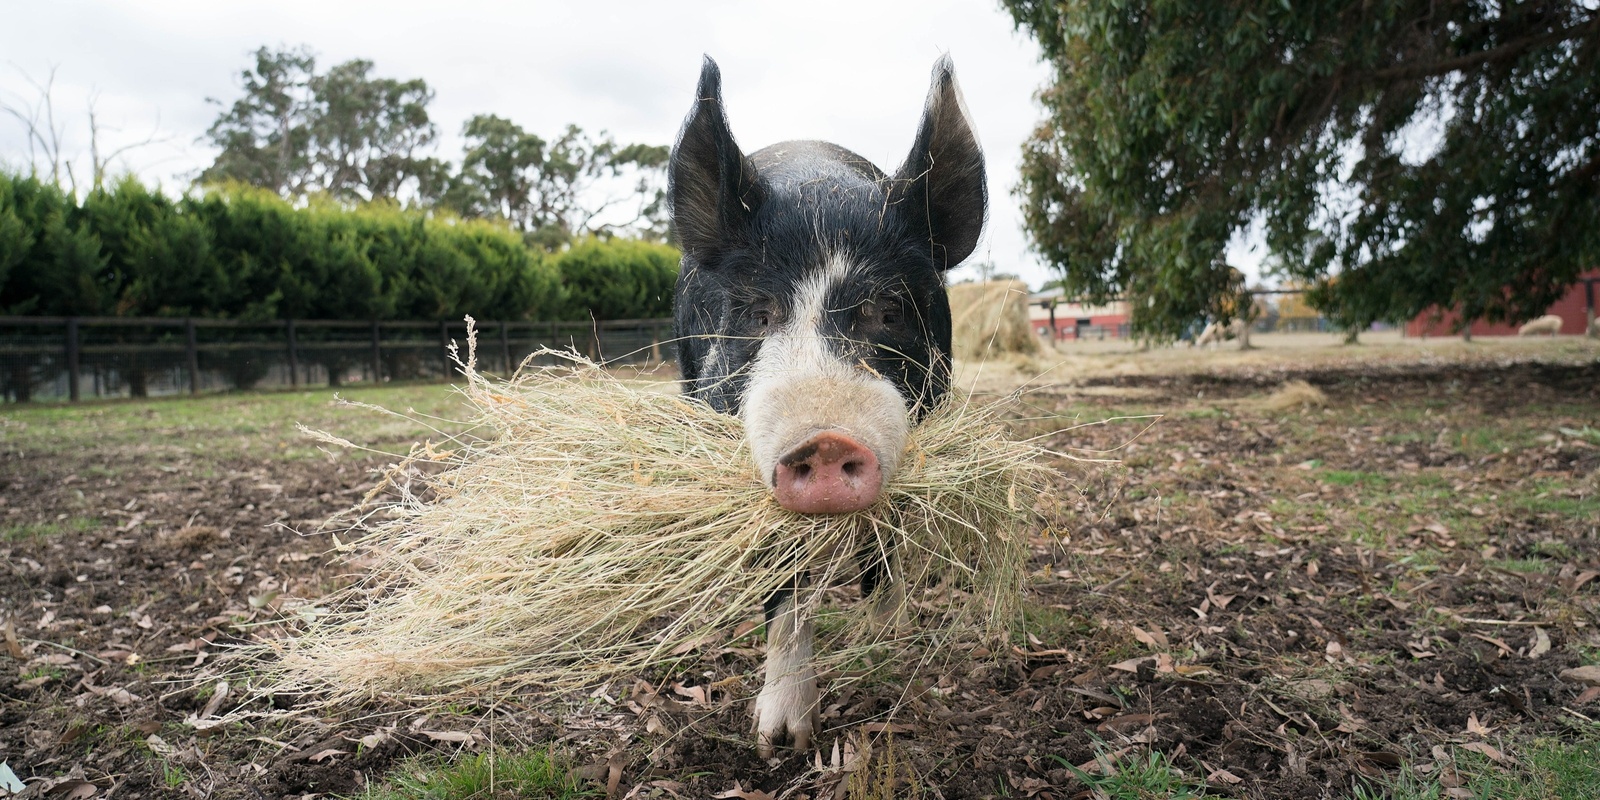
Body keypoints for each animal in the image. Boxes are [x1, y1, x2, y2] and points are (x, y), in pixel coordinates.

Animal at [665, 53, 985, 752]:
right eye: (758, 313)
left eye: (888, 311)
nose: (827, 438)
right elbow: (781, 582)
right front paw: (781, 740)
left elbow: (889, 529)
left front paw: (888, 627)